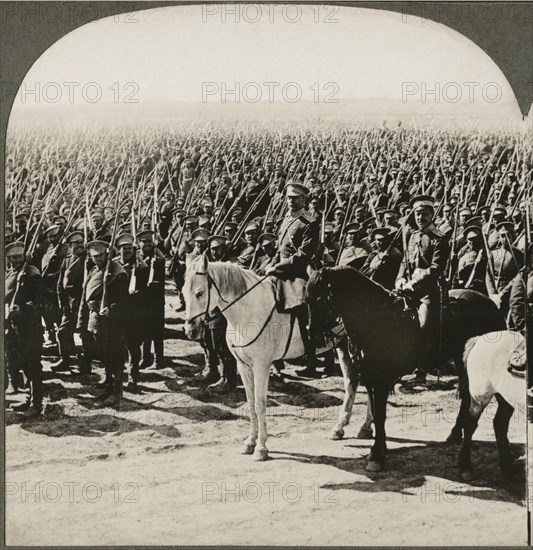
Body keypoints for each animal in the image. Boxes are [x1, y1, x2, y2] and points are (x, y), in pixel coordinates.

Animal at [182, 258, 354, 462]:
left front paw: (261, 448)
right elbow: (250, 403)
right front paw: (250, 442)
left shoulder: (261, 366)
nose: (190, 330)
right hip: (343, 347)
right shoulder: (243, 366)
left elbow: (260, 403)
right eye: (183, 292)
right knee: (351, 383)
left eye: (199, 293)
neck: (249, 310)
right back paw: (341, 428)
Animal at [306, 268, 504, 474]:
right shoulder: (369, 377)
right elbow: (373, 409)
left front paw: (376, 455)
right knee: (465, 394)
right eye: (307, 300)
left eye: (320, 299)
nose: (313, 336)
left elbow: (380, 415)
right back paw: (455, 433)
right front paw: (377, 447)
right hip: (460, 359)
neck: (373, 317)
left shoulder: (381, 379)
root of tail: (490, 303)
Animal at [458, 332, 524, 484]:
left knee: (500, 424)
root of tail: (479, 339)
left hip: (505, 397)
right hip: (479, 397)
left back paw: (508, 468)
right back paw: (466, 469)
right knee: (470, 425)